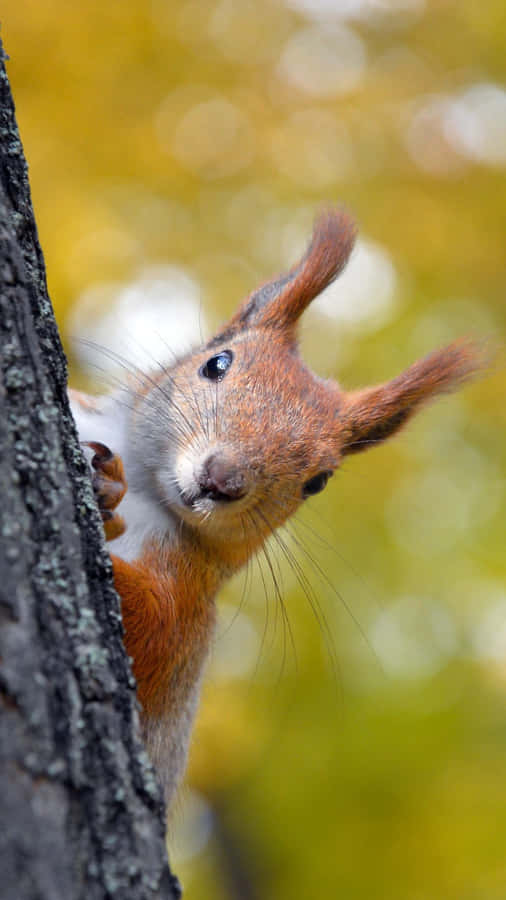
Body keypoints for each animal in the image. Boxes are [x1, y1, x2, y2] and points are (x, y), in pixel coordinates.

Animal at [69, 208, 484, 810]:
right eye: (217, 363)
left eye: (319, 482)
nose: (222, 480)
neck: (149, 489)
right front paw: (104, 479)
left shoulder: (186, 610)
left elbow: (150, 624)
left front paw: (106, 493)